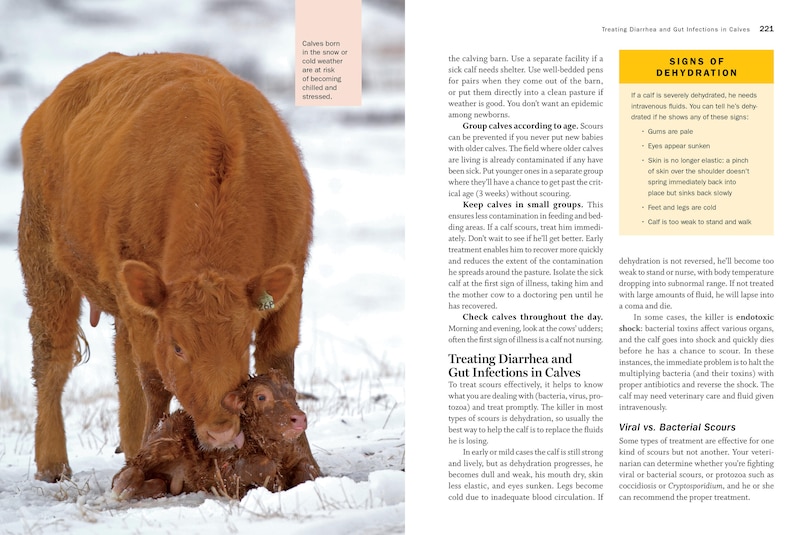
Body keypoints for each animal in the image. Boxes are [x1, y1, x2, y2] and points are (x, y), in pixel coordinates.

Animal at [17, 52, 319, 482]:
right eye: (178, 347)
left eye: (242, 341)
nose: (220, 429)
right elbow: (155, 379)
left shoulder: (291, 279)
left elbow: (280, 364)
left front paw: (307, 464)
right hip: (44, 266)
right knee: (52, 360)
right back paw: (53, 464)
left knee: (122, 365)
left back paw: (129, 446)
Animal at [112, 371, 319, 500]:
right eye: (261, 397)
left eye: (293, 393)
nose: (299, 419)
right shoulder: (225, 471)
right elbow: (264, 465)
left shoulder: (296, 457)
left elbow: (309, 470)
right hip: (162, 443)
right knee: (128, 469)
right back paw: (122, 488)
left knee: (159, 484)